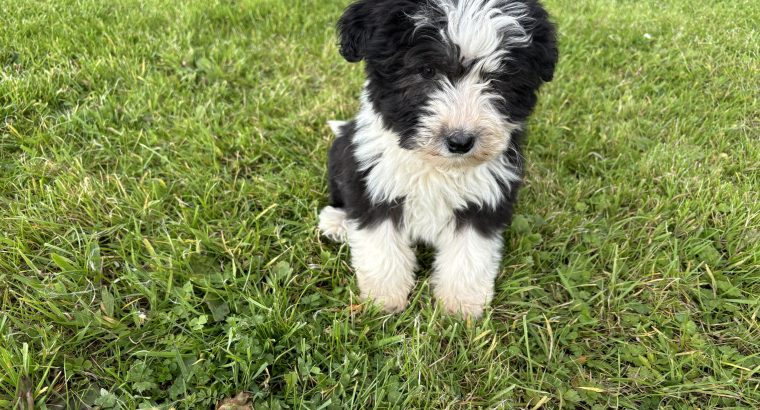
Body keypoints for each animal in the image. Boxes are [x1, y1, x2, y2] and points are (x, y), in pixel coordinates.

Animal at [318, 0, 556, 318]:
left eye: (497, 78)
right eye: (427, 71)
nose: (460, 141)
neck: (436, 166)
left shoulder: (485, 196)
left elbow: (469, 253)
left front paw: (461, 304)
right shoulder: (374, 181)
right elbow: (381, 245)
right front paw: (384, 298)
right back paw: (336, 221)